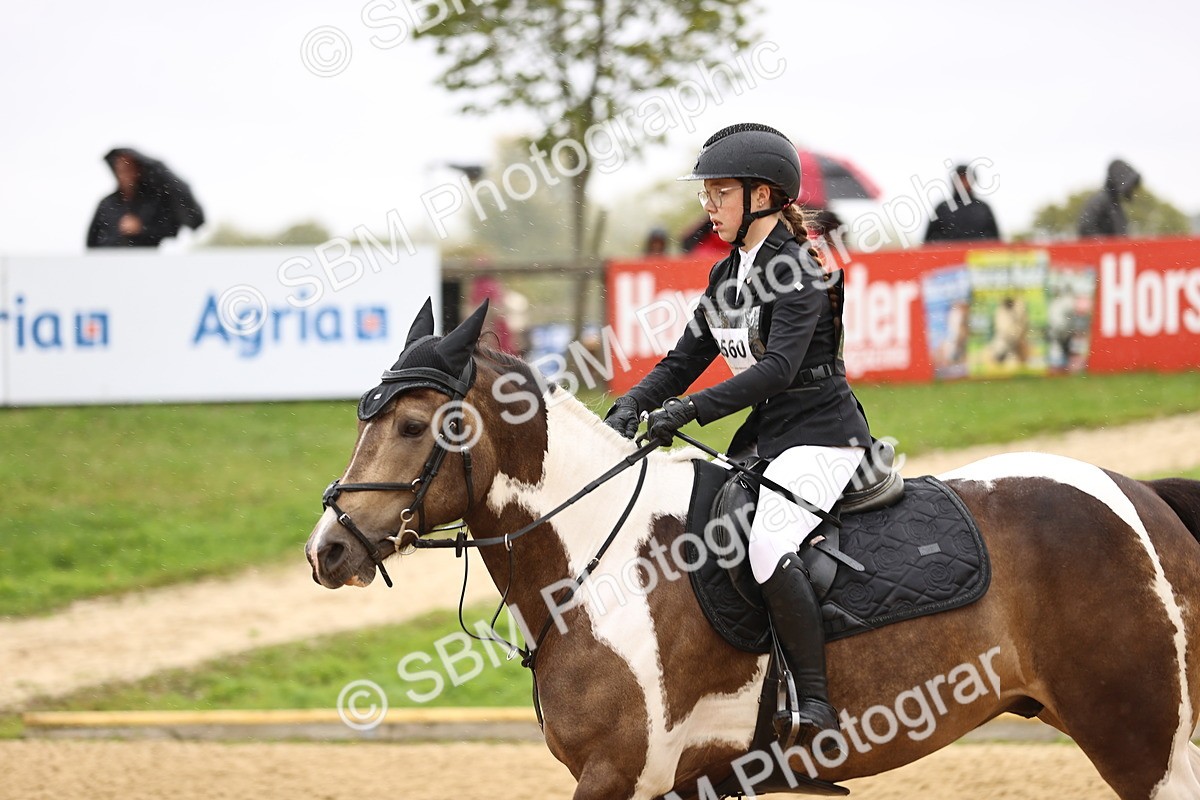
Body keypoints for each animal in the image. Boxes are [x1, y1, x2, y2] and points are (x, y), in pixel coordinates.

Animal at [305, 302, 1200, 800]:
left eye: (412, 425)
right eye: (361, 418)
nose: (328, 550)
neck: (598, 567)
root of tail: (1145, 498)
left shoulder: (621, 774)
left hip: (1143, 740)